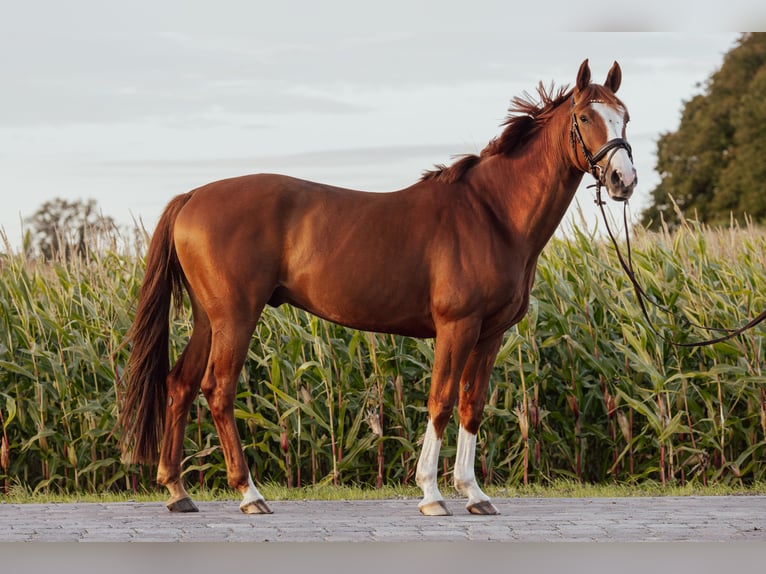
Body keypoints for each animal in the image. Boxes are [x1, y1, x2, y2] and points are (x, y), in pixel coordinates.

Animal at [118, 60, 636, 520]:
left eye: (625, 115)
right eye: (585, 117)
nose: (623, 180)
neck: (492, 213)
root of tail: (191, 197)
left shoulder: (490, 334)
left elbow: (472, 405)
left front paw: (474, 493)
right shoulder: (457, 327)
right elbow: (440, 401)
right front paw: (431, 494)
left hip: (210, 318)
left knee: (180, 385)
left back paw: (178, 491)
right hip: (236, 317)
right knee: (218, 390)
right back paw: (249, 494)